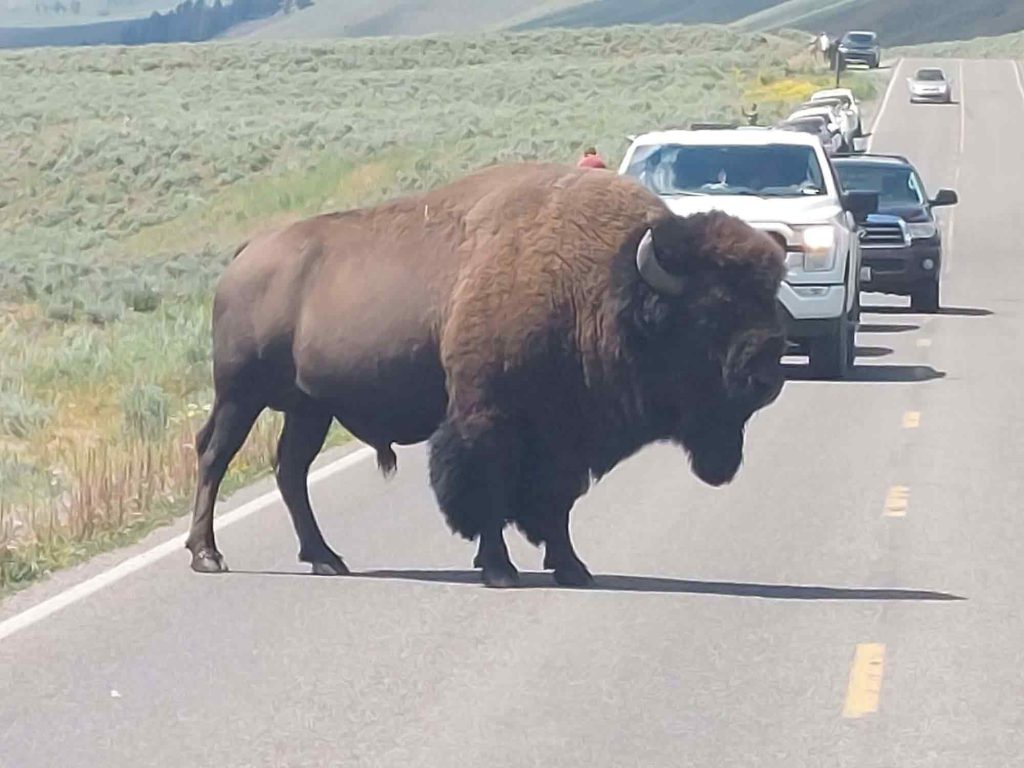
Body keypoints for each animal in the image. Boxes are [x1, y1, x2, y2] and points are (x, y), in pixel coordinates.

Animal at [184, 162, 782, 589]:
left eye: (769, 298)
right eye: (710, 313)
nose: (768, 366)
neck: (600, 284)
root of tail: (246, 257)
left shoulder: (564, 437)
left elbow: (555, 503)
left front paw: (572, 567)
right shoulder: (488, 418)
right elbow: (487, 492)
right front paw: (498, 568)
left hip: (310, 408)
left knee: (290, 470)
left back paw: (327, 558)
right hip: (241, 394)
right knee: (215, 455)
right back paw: (208, 555)